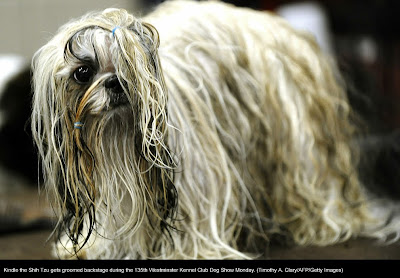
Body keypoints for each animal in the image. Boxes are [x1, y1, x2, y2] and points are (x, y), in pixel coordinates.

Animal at [32, 0, 400, 260]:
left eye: (128, 65)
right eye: (83, 72)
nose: (115, 83)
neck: (120, 141)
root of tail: (277, 26)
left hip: (300, 147)